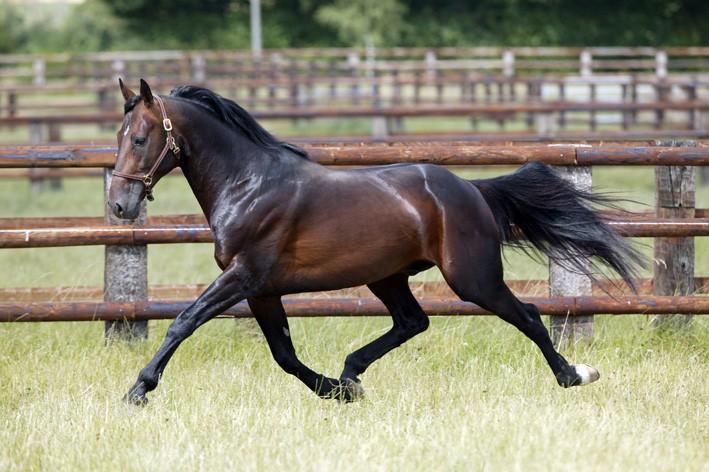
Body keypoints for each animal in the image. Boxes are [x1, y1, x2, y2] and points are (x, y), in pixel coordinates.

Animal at [106, 79, 640, 404]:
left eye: (140, 138)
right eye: (118, 135)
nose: (119, 205)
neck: (249, 184)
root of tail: (471, 189)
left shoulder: (243, 276)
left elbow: (182, 323)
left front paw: (138, 390)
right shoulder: (262, 289)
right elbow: (283, 354)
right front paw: (337, 393)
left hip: (472, 278)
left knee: (526, 316)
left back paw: (574, 375)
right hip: (387, 277)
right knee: (412, 322)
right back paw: (350, 372)